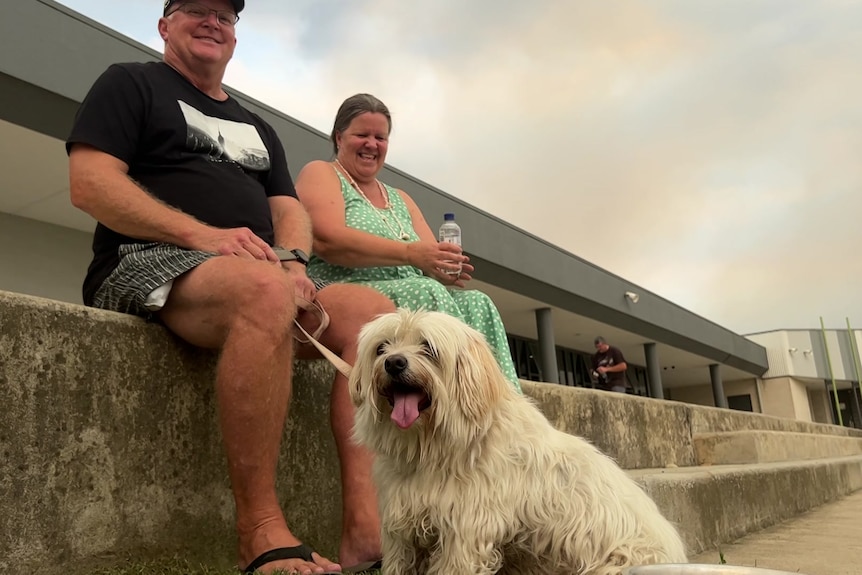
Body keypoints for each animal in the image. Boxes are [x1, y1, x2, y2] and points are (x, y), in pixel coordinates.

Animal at [352, 310, 688, 575]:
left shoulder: (464, 532)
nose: (394, 363)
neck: (434, 448)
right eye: (381, 347)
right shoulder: (400, 531)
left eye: (428, 347)